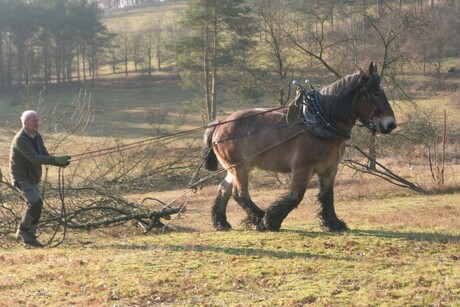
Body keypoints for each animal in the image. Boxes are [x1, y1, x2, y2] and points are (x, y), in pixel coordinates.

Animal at [201, 62, 396, 231]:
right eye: (375, 93)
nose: (391, 124)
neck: (318, 122)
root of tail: (219, 124)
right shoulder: (303, 168)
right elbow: (296, 196)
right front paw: (271, 220)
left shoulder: (329, 169)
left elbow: (327, 196)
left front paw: (332, 223)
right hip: (239, 167)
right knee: (240, 194)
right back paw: (259, 218)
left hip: (235, 168)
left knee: (224, 189)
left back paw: (221, 222)